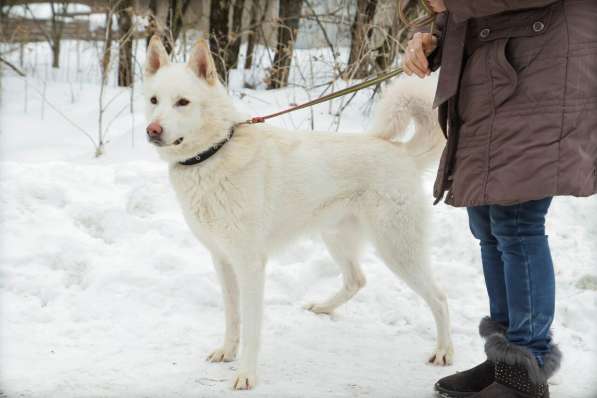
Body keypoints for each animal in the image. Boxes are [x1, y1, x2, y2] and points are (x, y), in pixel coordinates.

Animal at [143, 35, 452, 390]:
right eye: (154, 100)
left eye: (183, 102)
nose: (152, 130)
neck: (214, 153)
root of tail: (402, 152)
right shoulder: (222, 260)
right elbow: (232, 317)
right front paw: (226, 352)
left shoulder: (250, 264)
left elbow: (251, 327)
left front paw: (246, 374)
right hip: (336, 238)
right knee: (357, 280)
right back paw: (323, 308)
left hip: (398, 250)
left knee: (440, 297)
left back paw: (444, 352)